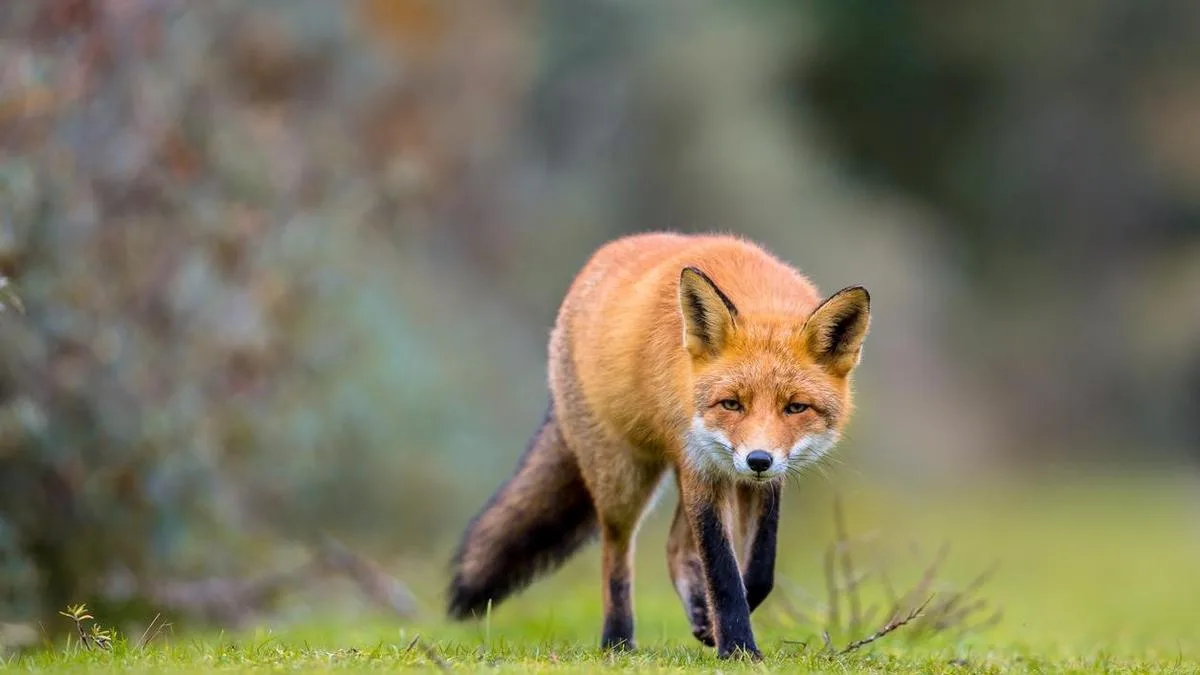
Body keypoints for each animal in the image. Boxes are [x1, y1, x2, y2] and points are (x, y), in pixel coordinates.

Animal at [446, 232, 871, 659]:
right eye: (731, 404)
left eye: (795, 407)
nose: (758, 460)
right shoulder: (702, 466)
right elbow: (723, 573)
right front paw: (738, 648)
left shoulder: (757, 481)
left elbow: (760, 570)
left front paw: (717, 627)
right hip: (624, 478)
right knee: (616, 551)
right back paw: (617, 640)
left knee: (674, 548)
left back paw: (695, 616)